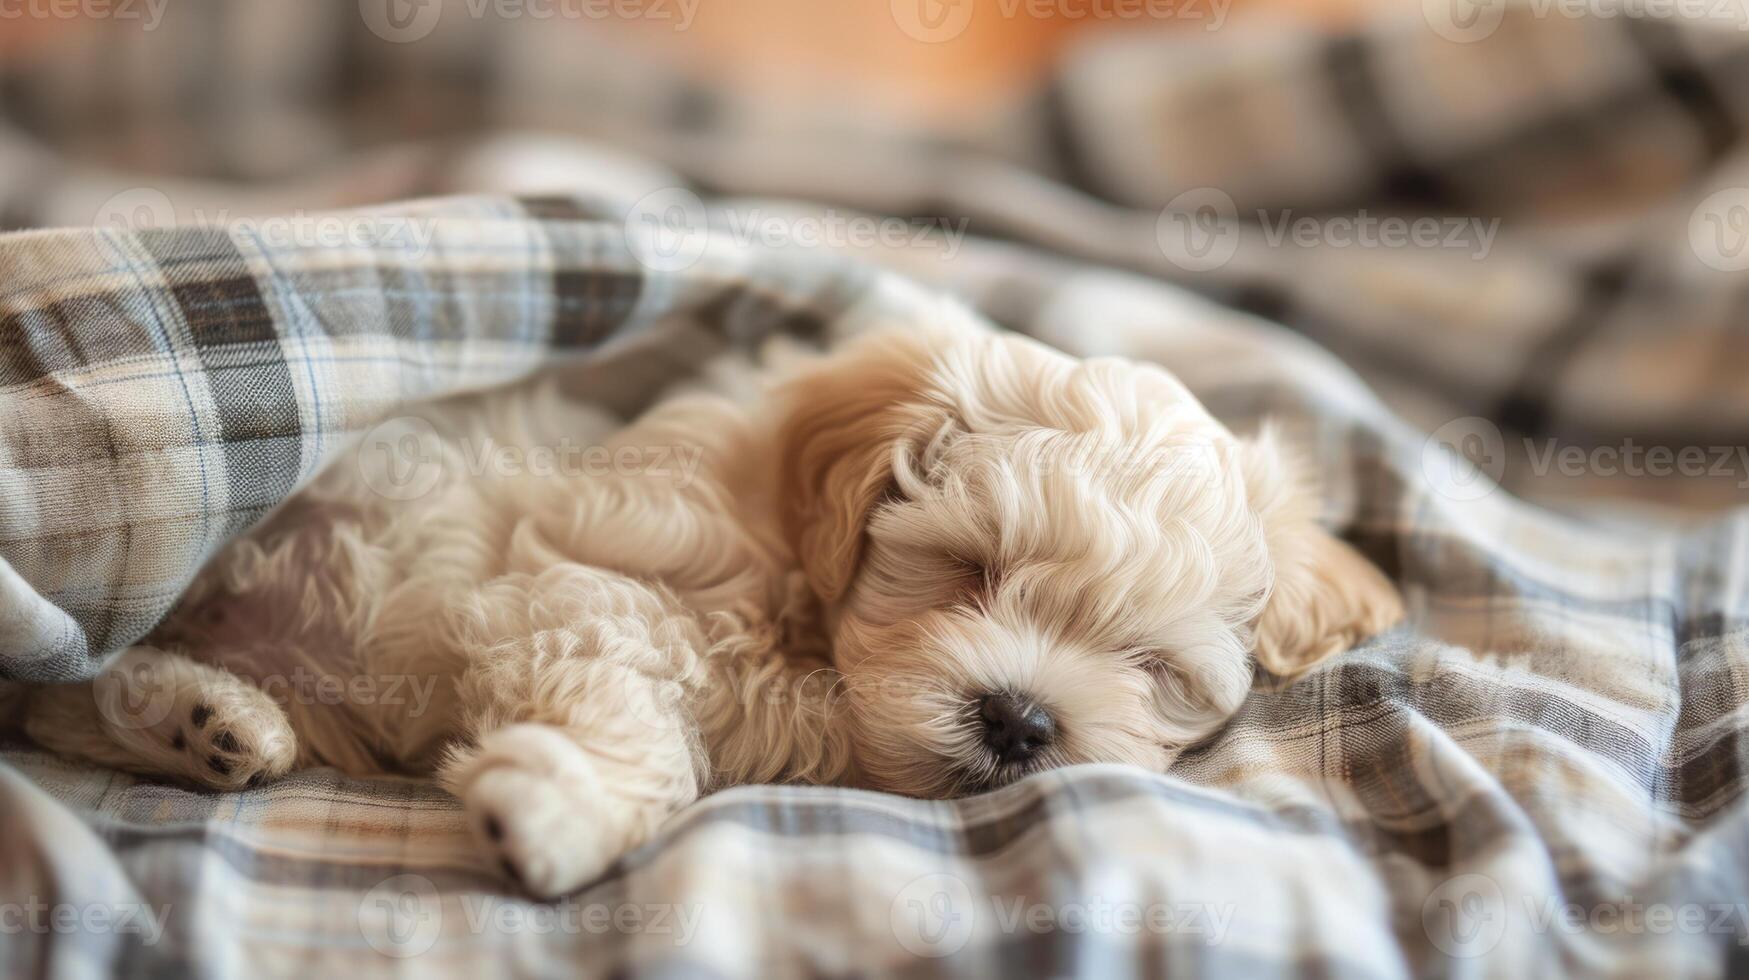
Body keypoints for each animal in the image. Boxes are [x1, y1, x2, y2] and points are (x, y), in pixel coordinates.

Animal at [20, 311, 1399, 896]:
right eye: (972, 567)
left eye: (1152, 665)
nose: (1020, 722)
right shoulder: (584, 584)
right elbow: (643, 736)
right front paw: (555, 815)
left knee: (66, 698)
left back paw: (211, 720)